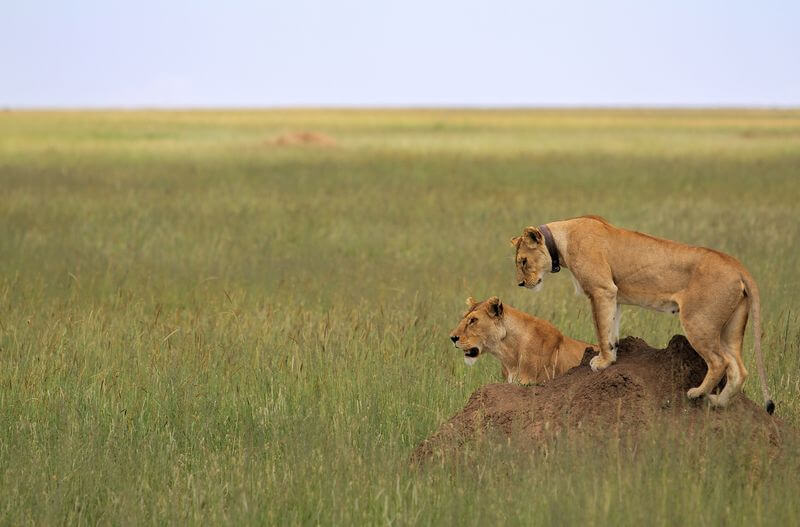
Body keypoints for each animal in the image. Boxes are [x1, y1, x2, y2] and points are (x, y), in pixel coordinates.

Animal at [511, 215, 774, 413]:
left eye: (523, 261)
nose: (521, 284)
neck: (562, 238)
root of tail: (736, 265)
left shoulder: (602, 289)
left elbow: (601, 329)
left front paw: (602, 362)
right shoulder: (613, 295)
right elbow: (611, 328)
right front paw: (612, 356)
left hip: (698, 321)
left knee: (720, 362)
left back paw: (697, 394)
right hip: (731, 328)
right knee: (739, 369)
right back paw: (718, 402)